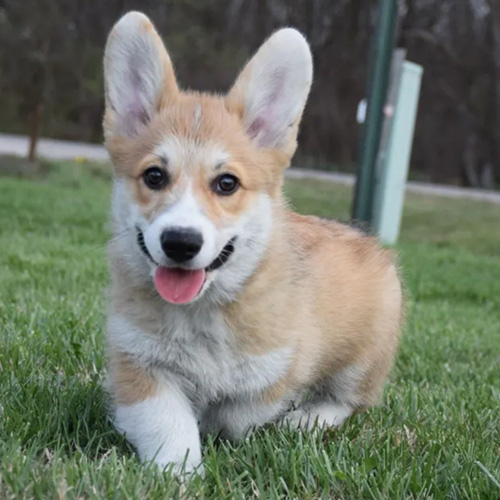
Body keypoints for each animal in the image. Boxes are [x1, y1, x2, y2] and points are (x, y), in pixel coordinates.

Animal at [102, 11, 402, 476]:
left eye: (227, 183)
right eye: (154, 176)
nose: (180, 242)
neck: (201, 313)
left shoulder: (275, 371)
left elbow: (236, 415)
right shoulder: (139, 362)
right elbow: (169, 424)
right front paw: (178, 475)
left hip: (363, 357)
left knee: (347, 401)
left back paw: (307, 419)